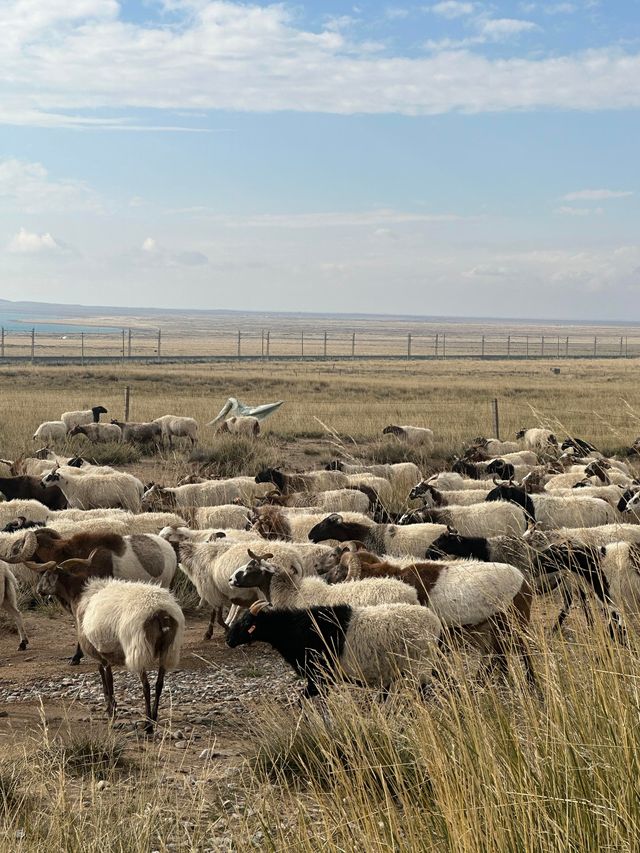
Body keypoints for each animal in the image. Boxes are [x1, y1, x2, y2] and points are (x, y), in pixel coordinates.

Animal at [35, 564, 184, 732]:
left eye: (45, 575)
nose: (38, 590)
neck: (78, 595)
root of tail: (160, 611)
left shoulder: (99, 651)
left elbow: (108, 680)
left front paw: (111, 711)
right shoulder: (103, 653)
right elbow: (105, 677)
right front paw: (111, 708)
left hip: (137, 647)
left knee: (146, 686)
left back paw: (148, 725)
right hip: (169, 650)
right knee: (159, 684)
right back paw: (153, 718)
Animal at [224, 600, 440, 700]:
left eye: (246, 622)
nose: (229, 640)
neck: (293, 629)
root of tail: (434, 622)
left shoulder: (319, 677)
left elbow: (304, 700)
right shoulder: (322, 680)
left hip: (418, 666)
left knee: (422, 691)